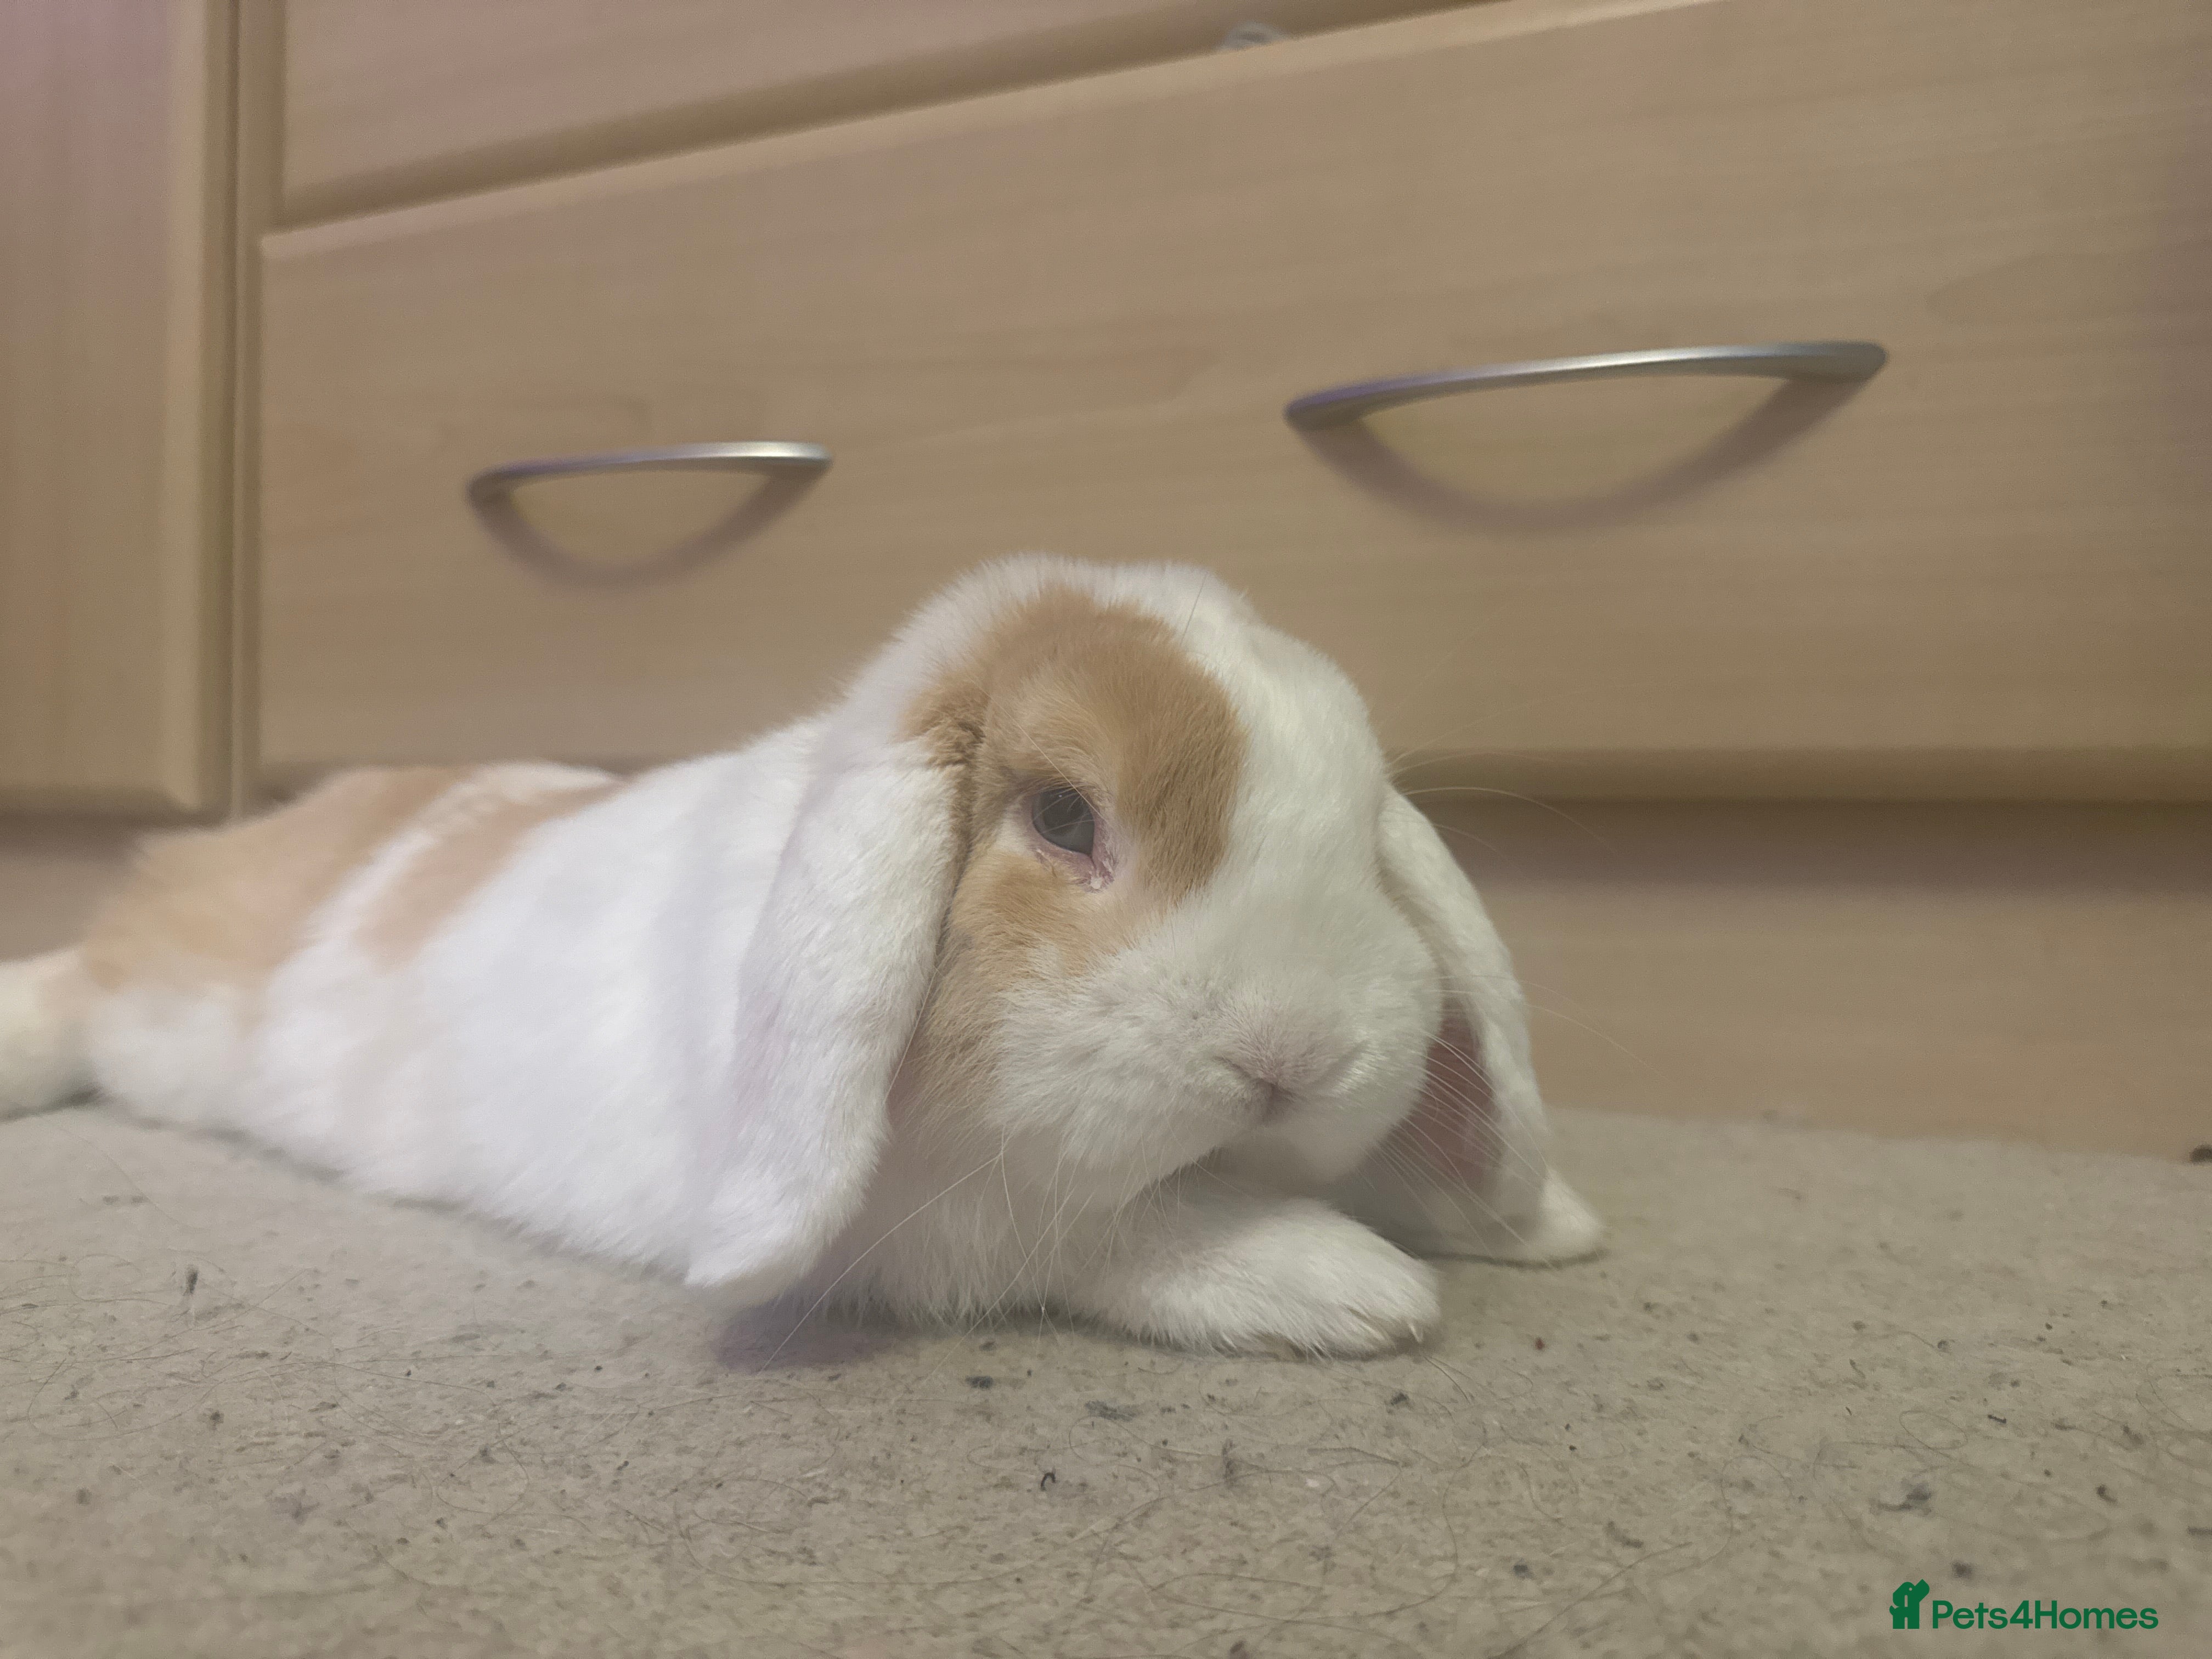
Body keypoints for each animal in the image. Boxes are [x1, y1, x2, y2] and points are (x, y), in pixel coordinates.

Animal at [0, 555, 1600, 1355]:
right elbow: (1118, 1229)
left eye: (1365, 816)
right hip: (167, 1010)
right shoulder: (930, 1229)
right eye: (1063, 815)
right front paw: (1353, 1287)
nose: (1293, 1056)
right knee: (86, 981)